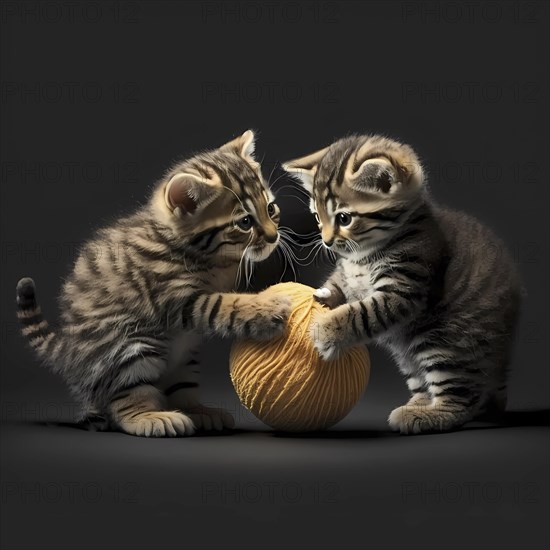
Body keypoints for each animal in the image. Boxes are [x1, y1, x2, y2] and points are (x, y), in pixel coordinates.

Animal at [15, 132, 292, 438]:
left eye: (271, 208)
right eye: (245, 222)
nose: (274, 236)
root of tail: (69, 352)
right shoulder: (176, 299)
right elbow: (225, 304)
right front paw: (265, 309)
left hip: (185, 358)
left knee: (179, 390)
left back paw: (197, 411)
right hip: (129, 345)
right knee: (123, 399)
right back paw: (150, 417)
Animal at [284, 135, 520, 436]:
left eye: (344, 218)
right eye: (317, 217)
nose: (326, 241)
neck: (364, 256)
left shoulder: (404, 288)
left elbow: (360, 313)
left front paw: (326, 330)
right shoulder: (349, 274)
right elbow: (338, 284)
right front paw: (322, 295)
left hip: (446, 341)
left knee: (461, 400)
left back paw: (426, 415)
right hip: (407, 354)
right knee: (428, 382)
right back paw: (418, 404)